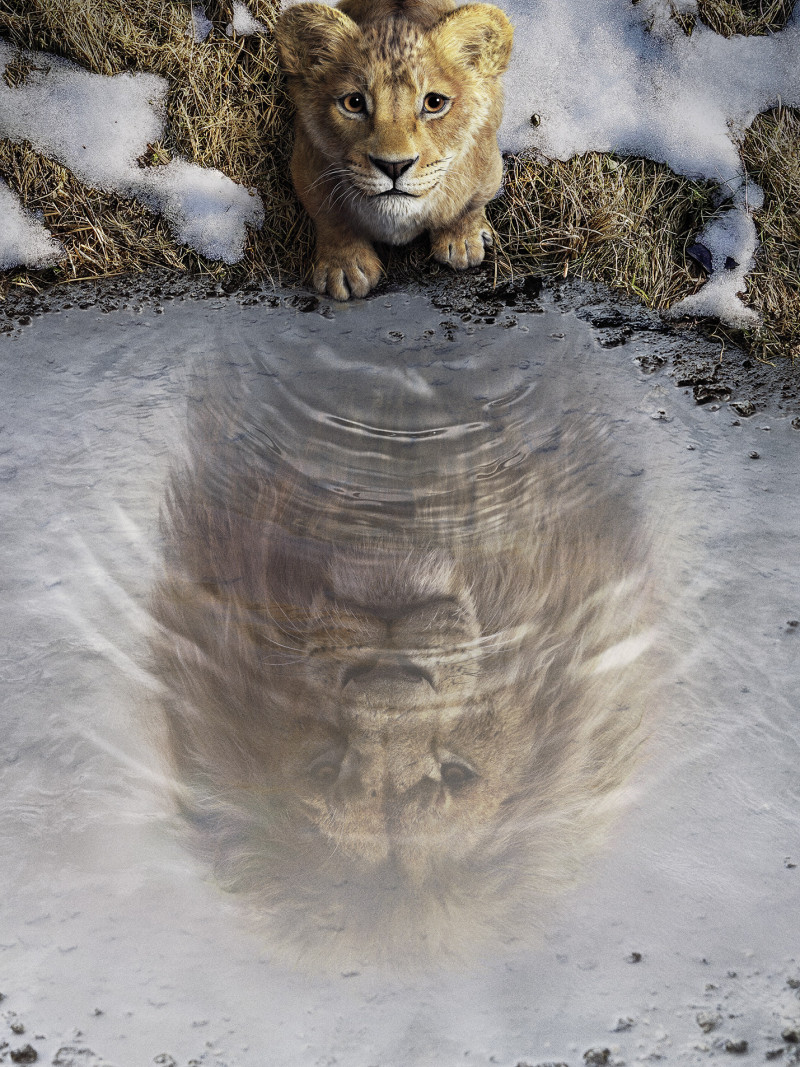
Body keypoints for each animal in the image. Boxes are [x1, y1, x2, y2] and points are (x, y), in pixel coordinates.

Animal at [273, 0, 514, 299]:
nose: (394, 166)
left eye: (434, 103)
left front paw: (462, 241)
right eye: (353, 103)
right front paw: (345, 267)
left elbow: (469, 205)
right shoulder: (306, 165)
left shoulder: (489, 166)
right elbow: (331, 217)